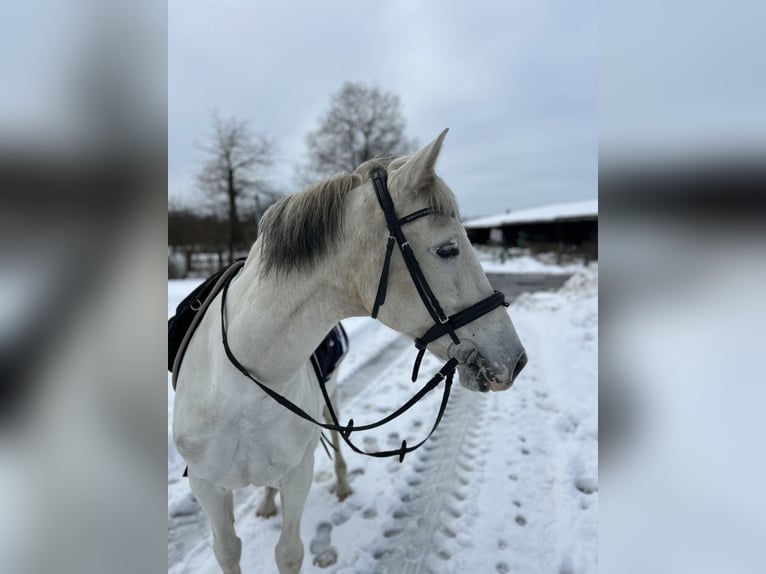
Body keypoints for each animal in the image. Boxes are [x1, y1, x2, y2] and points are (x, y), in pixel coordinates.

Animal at [172, 129, 527, 574]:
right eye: (448, 249)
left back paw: (340, 484)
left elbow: (289, 552)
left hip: (332, 399)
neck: (242, 385)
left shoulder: (298, 474)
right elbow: (228, 550)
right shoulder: (208, 488)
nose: (515, 360)